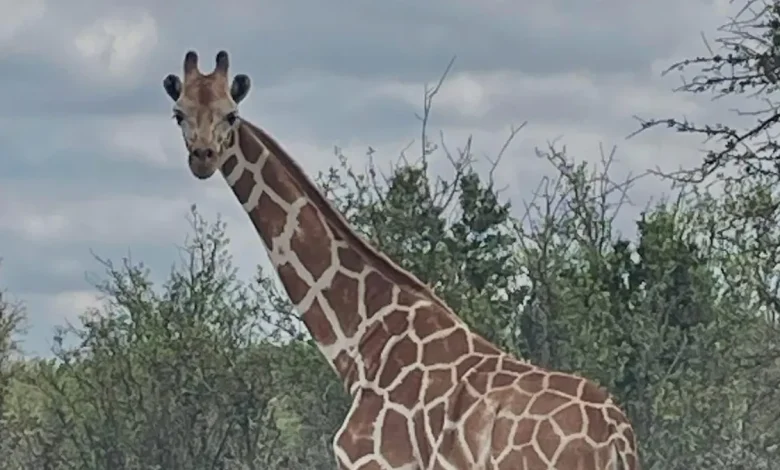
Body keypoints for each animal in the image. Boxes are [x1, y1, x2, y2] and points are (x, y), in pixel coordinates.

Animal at [162, 50, 641, 470]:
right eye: (179, 114)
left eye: (231, 115)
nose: (202, 158)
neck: (361, 343)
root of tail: (617, 438)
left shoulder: (375, 462)